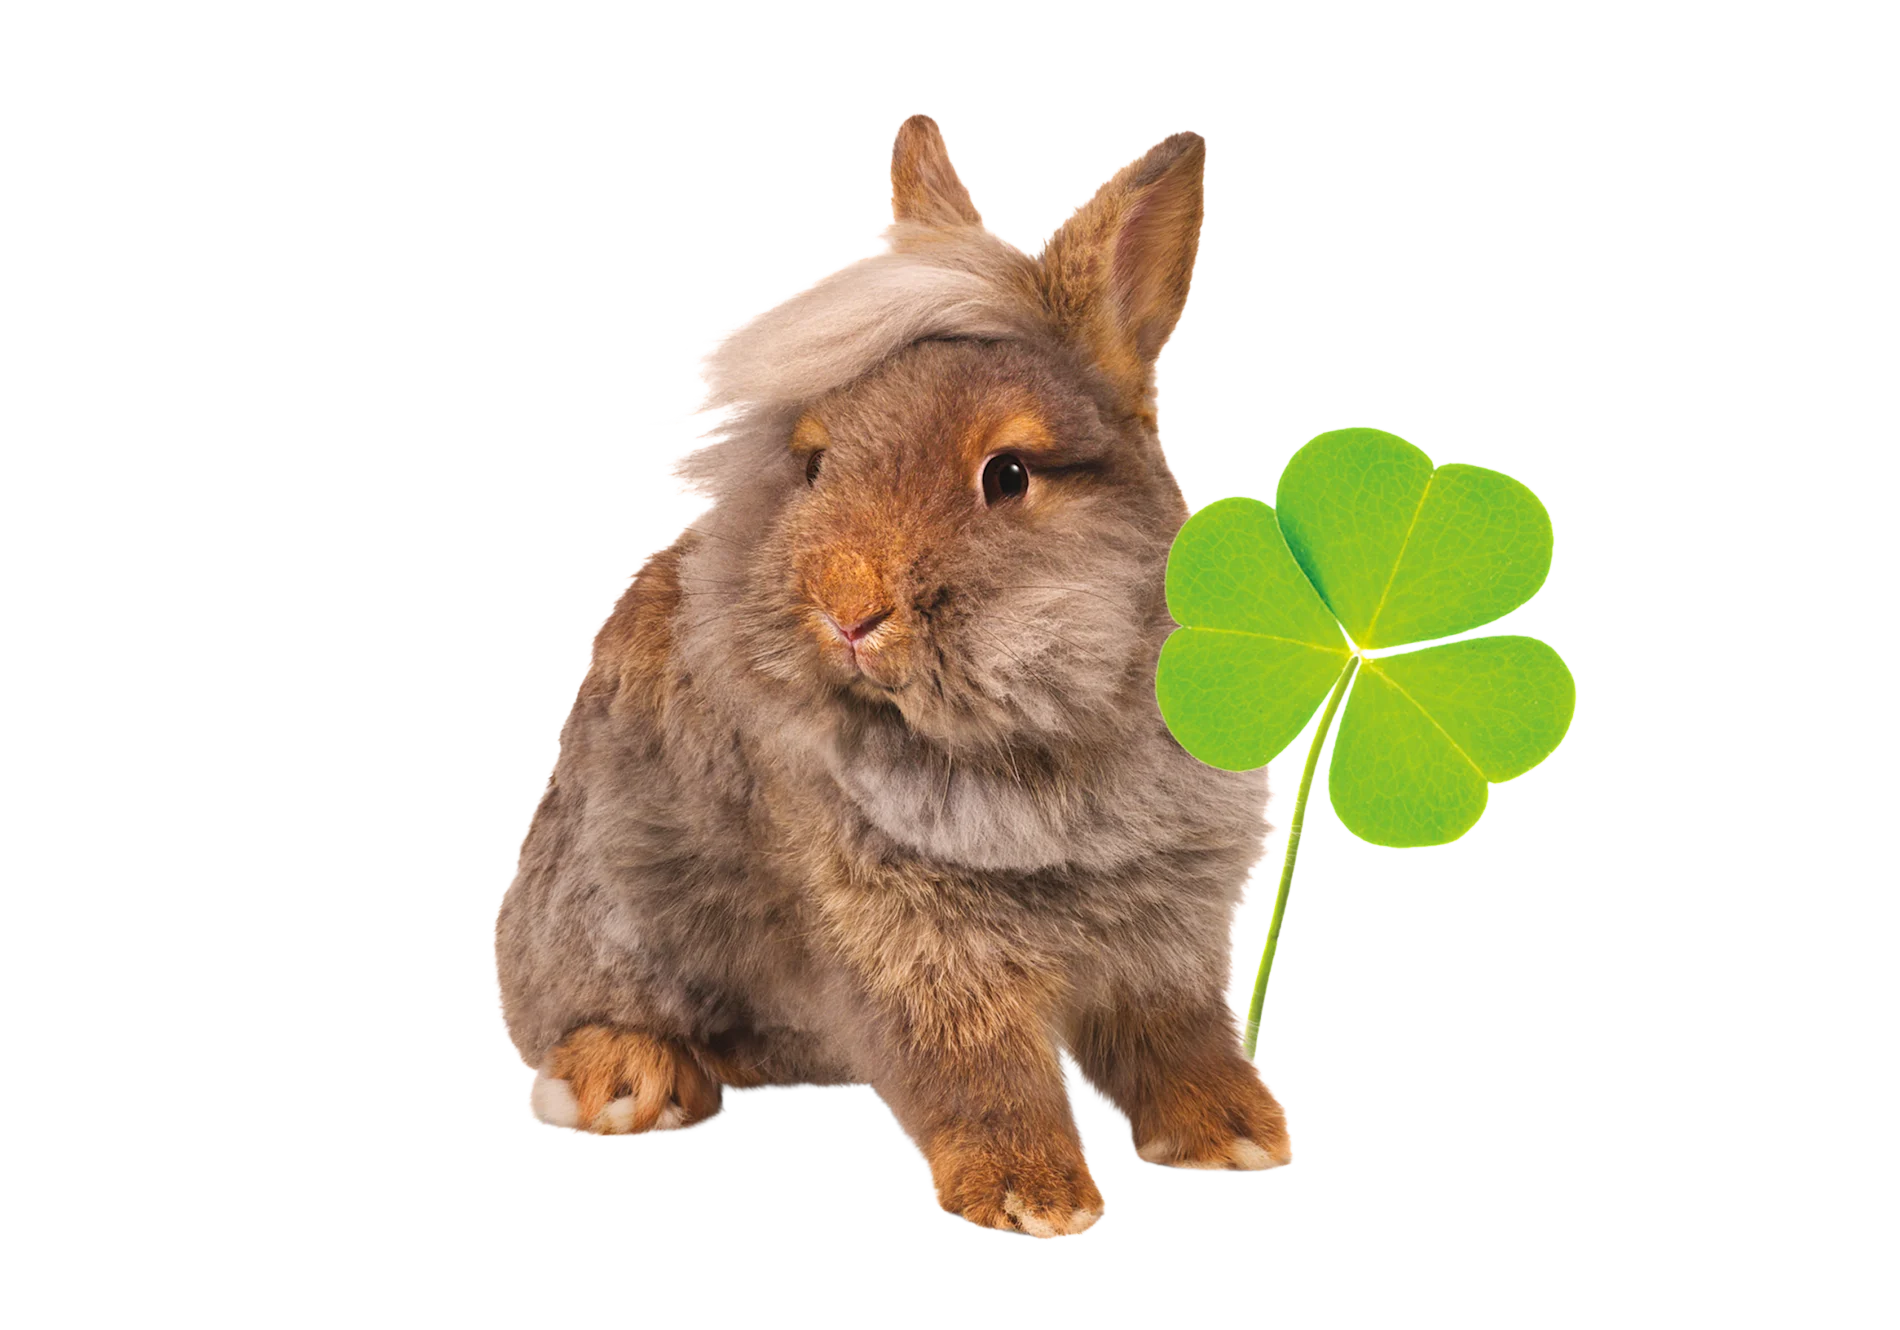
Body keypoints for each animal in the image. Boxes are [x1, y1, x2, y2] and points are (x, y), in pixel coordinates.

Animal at [493, 115, 1289, 1237]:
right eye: (816, 463)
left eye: (1008, 475)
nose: (847, 609)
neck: (1042, 724)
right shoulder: (915, 944)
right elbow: (978, 1067)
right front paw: (1033, 1196)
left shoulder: (1162, 939)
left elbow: (1175, 1039)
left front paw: (1235, 1138)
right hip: (601, 912)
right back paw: (627, 1079)